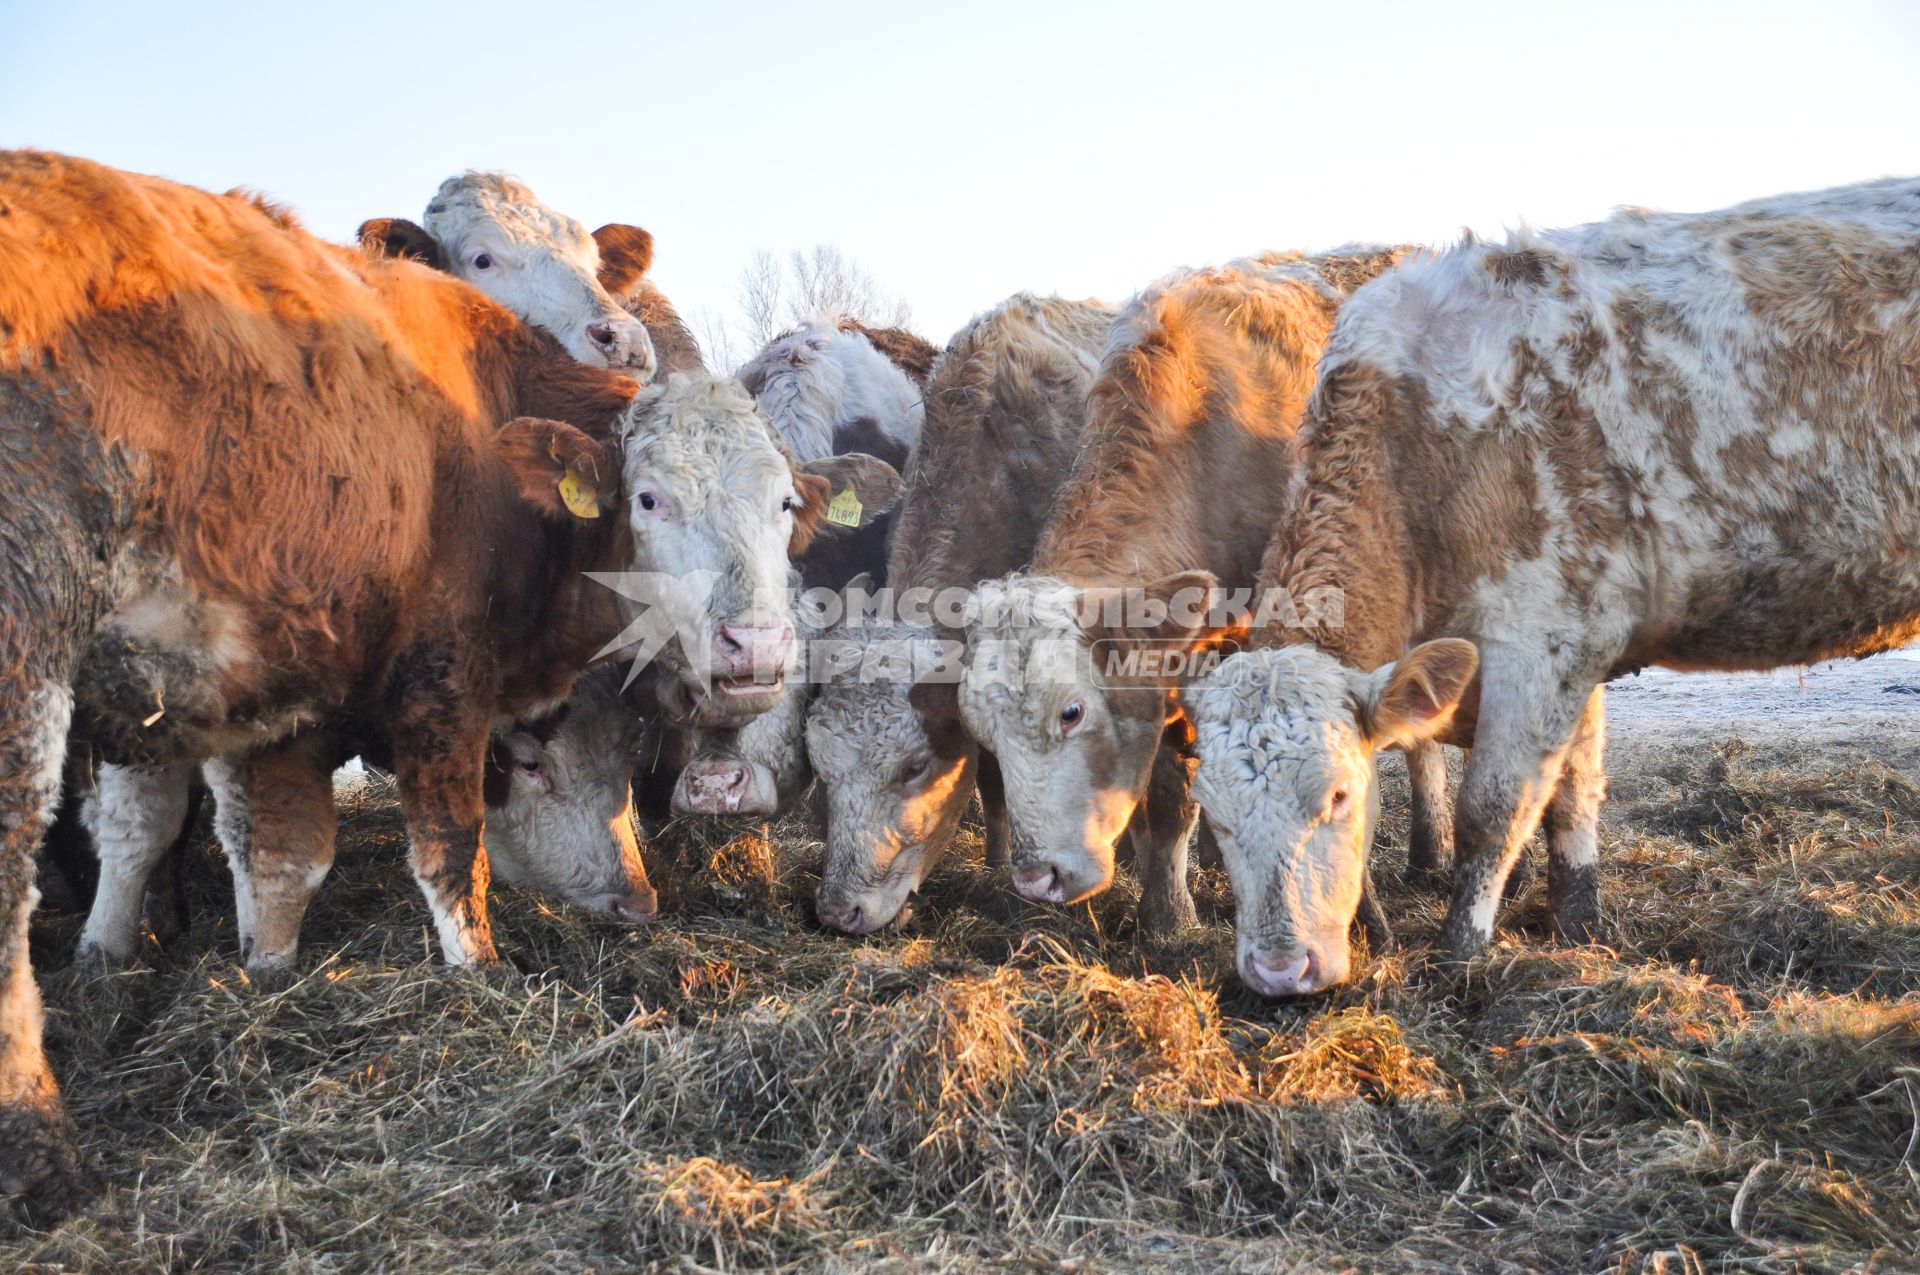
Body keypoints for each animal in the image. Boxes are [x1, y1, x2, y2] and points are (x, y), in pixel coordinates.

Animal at [1182, 176, 1920, 998]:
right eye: (1213, 815)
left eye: (1339, 793)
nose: (1279, 970)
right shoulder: (1581, 637)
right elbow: (1573, 789)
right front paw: (1578, 919)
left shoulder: (1544, 634)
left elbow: (1496, 807)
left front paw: (1458, 951)